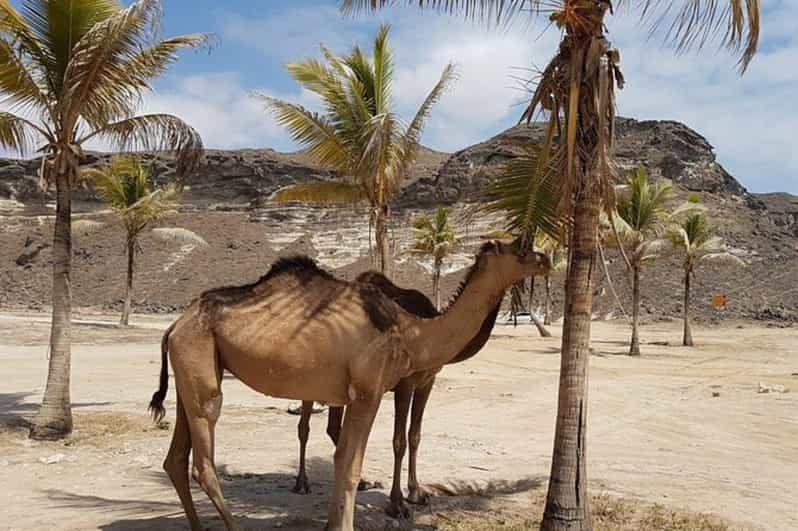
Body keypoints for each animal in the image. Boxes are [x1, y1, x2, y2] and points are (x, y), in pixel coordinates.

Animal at [294, 272, 504, 516]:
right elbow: (399, 441)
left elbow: (415, 436)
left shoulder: (427, 381)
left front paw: (416, 493)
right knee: (304, 427)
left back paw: (363, 482)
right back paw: (302, 483)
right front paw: (397, 503)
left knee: (333, 427)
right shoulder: (405, 383)